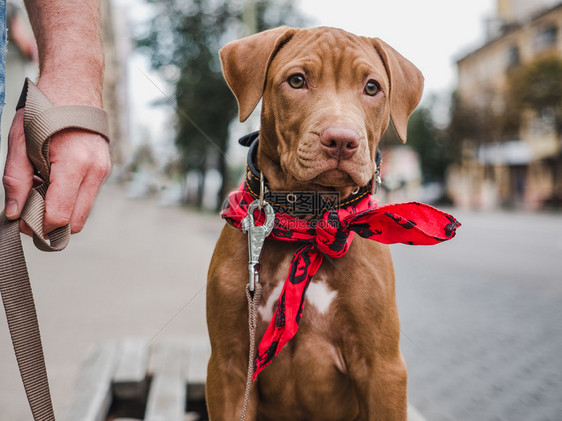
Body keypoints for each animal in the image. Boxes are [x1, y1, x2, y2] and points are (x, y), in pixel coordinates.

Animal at [208, 27, 422, 420]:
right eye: (297, 81)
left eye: (372, 87)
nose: (341, 140)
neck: (308, 223)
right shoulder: (229, 367)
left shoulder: (383, 370)